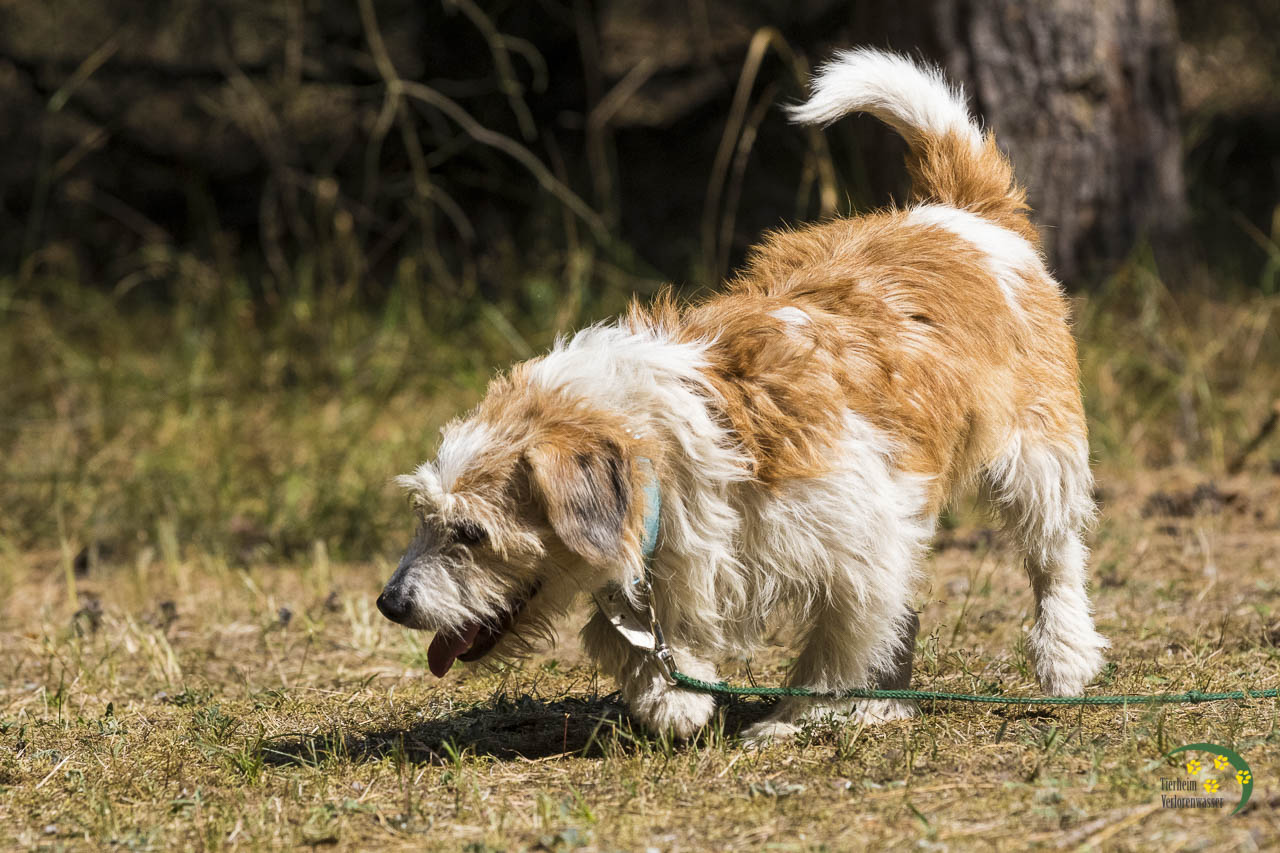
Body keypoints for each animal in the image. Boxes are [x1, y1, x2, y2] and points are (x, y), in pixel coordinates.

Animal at [376, 48, 1107, 740]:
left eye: (472, 532)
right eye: (425, 516)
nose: (390, 603)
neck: (662, 439)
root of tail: (958, 214)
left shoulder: (862, 538)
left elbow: (834, 645)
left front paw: (789, 718)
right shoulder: (675, 563)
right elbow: (633, 639)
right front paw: (672, 698)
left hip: (1041, 461)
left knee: (1054, 559)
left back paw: (1063, 656)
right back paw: (886, 705)